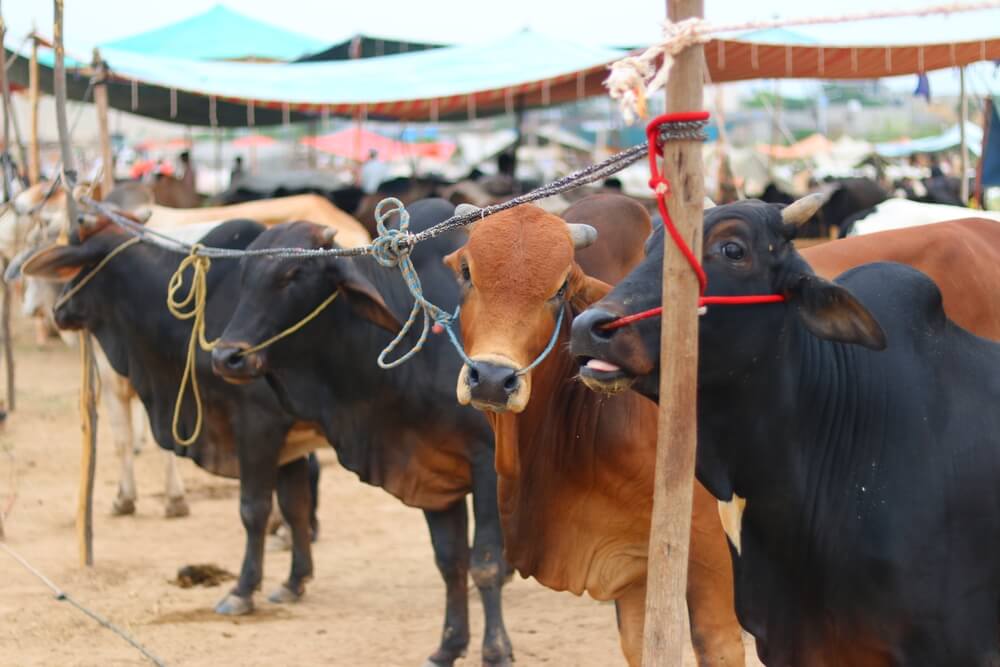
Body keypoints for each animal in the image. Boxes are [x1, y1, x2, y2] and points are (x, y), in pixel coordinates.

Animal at [23, 219, 322, 616]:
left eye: (78, 265)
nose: (58, 309)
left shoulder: (259, 427)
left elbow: (253, 509)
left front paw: (242, 590)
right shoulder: (290, 442)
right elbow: (294, 505)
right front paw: (294, 581)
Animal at [208, 198, 512, 667]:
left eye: (293, 275)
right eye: (245, 275)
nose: (228, 357)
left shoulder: (485, 464)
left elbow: (484, 564)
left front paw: (495, 651)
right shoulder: (431, 469)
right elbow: (450, 563)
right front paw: (448, 645)